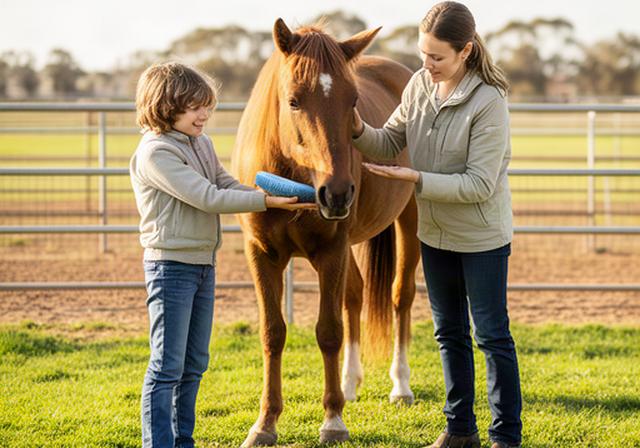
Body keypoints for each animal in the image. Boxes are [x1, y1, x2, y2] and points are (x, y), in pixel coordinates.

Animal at [231, 19, 420, 446]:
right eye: (294, 101)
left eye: (352, 102)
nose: (336, 193)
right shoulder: (261, 254)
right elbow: (273, 333)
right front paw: (265, 423)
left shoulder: (331, 251)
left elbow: (329, 332)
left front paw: (333, 420)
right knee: (354, 296)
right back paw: (350, 384)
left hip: (410, 220)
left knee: (400, 296)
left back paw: (400, 385)